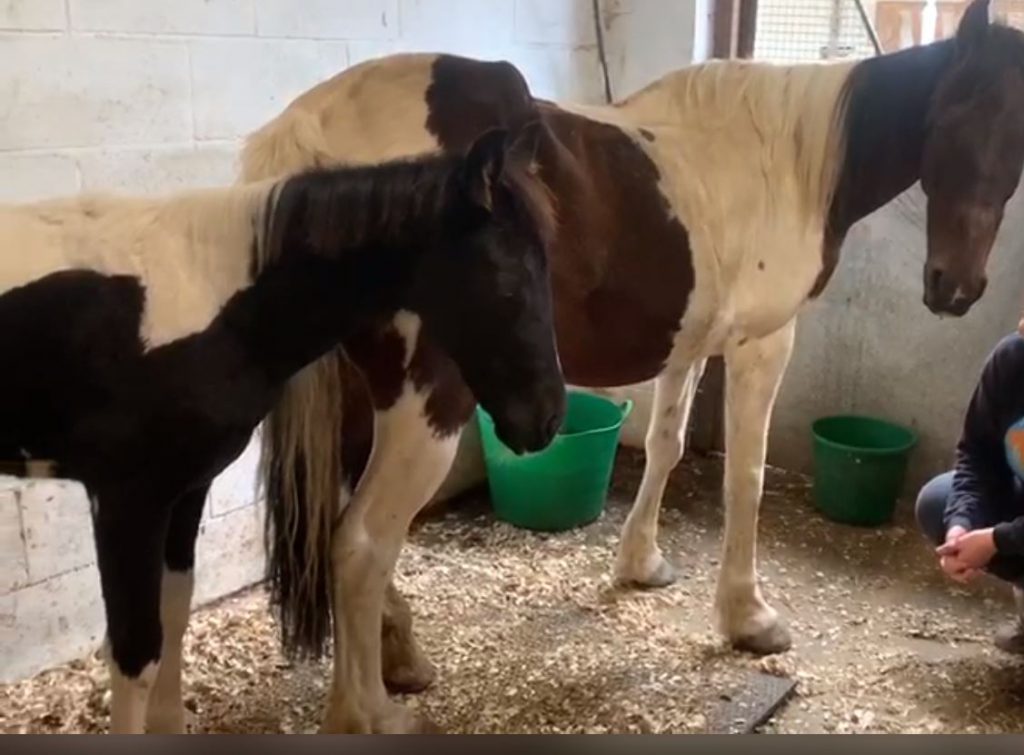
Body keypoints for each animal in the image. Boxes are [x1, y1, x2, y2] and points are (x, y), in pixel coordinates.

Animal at [0, 126, 564, 734]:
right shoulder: (127, 499)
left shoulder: (186, 489)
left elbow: (174, 615)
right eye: (508, 280)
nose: (548, 418)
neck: (215, 300)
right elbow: (134, 652)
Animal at [241, 0, 1024, 733]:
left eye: (1017, 140)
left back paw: (401, 655)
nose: (955, 288)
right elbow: (746, 477)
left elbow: (665, 445)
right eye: (955, 113)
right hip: (426, 403)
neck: (792, 160)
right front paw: (748, 617)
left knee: (346, 523)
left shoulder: (690, 343)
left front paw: (641, 564)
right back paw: (363, 711)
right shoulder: (763, 344)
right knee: (362, 543)